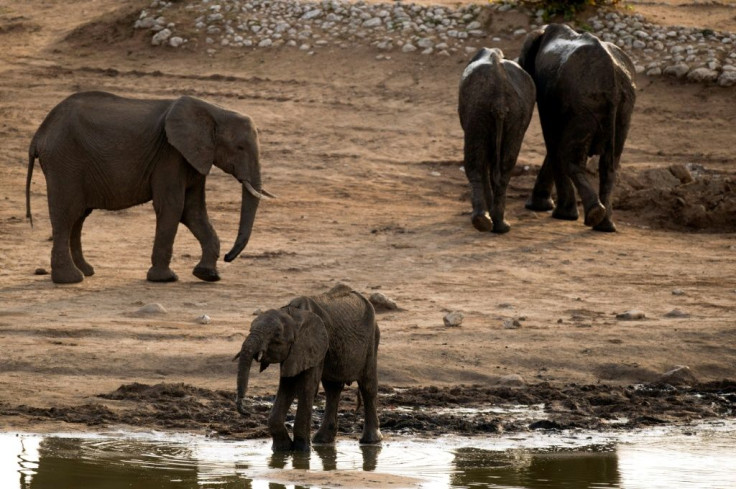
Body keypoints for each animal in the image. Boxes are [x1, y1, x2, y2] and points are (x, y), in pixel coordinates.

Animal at [27, 89, 276, 284]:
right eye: (240, 148)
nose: (228, 257)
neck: (215, 111)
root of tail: (39, 133)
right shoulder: (170, 154)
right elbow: (174, 207)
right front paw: (166, 278)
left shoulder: (193, 157)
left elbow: (193, 211)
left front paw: (207, 275)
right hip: (64, 162)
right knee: (66, 214)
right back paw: (70, 279)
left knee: (78, 217)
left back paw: (87, 272)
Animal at [460, 46, 536, 234]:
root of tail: (499, 96)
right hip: (495, 110)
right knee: (504, 164)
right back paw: (494, 224)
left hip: (480, 108)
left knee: (478, 163)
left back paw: (486, 222)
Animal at [516, 21, 640, 231]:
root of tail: (613, 81)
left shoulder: (550, 94)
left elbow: (552, 138)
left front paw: (554, 212)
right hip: (623, 109)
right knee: (610, 165)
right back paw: (605, 225)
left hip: (585, 105)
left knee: (569, 156)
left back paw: (593, 215)